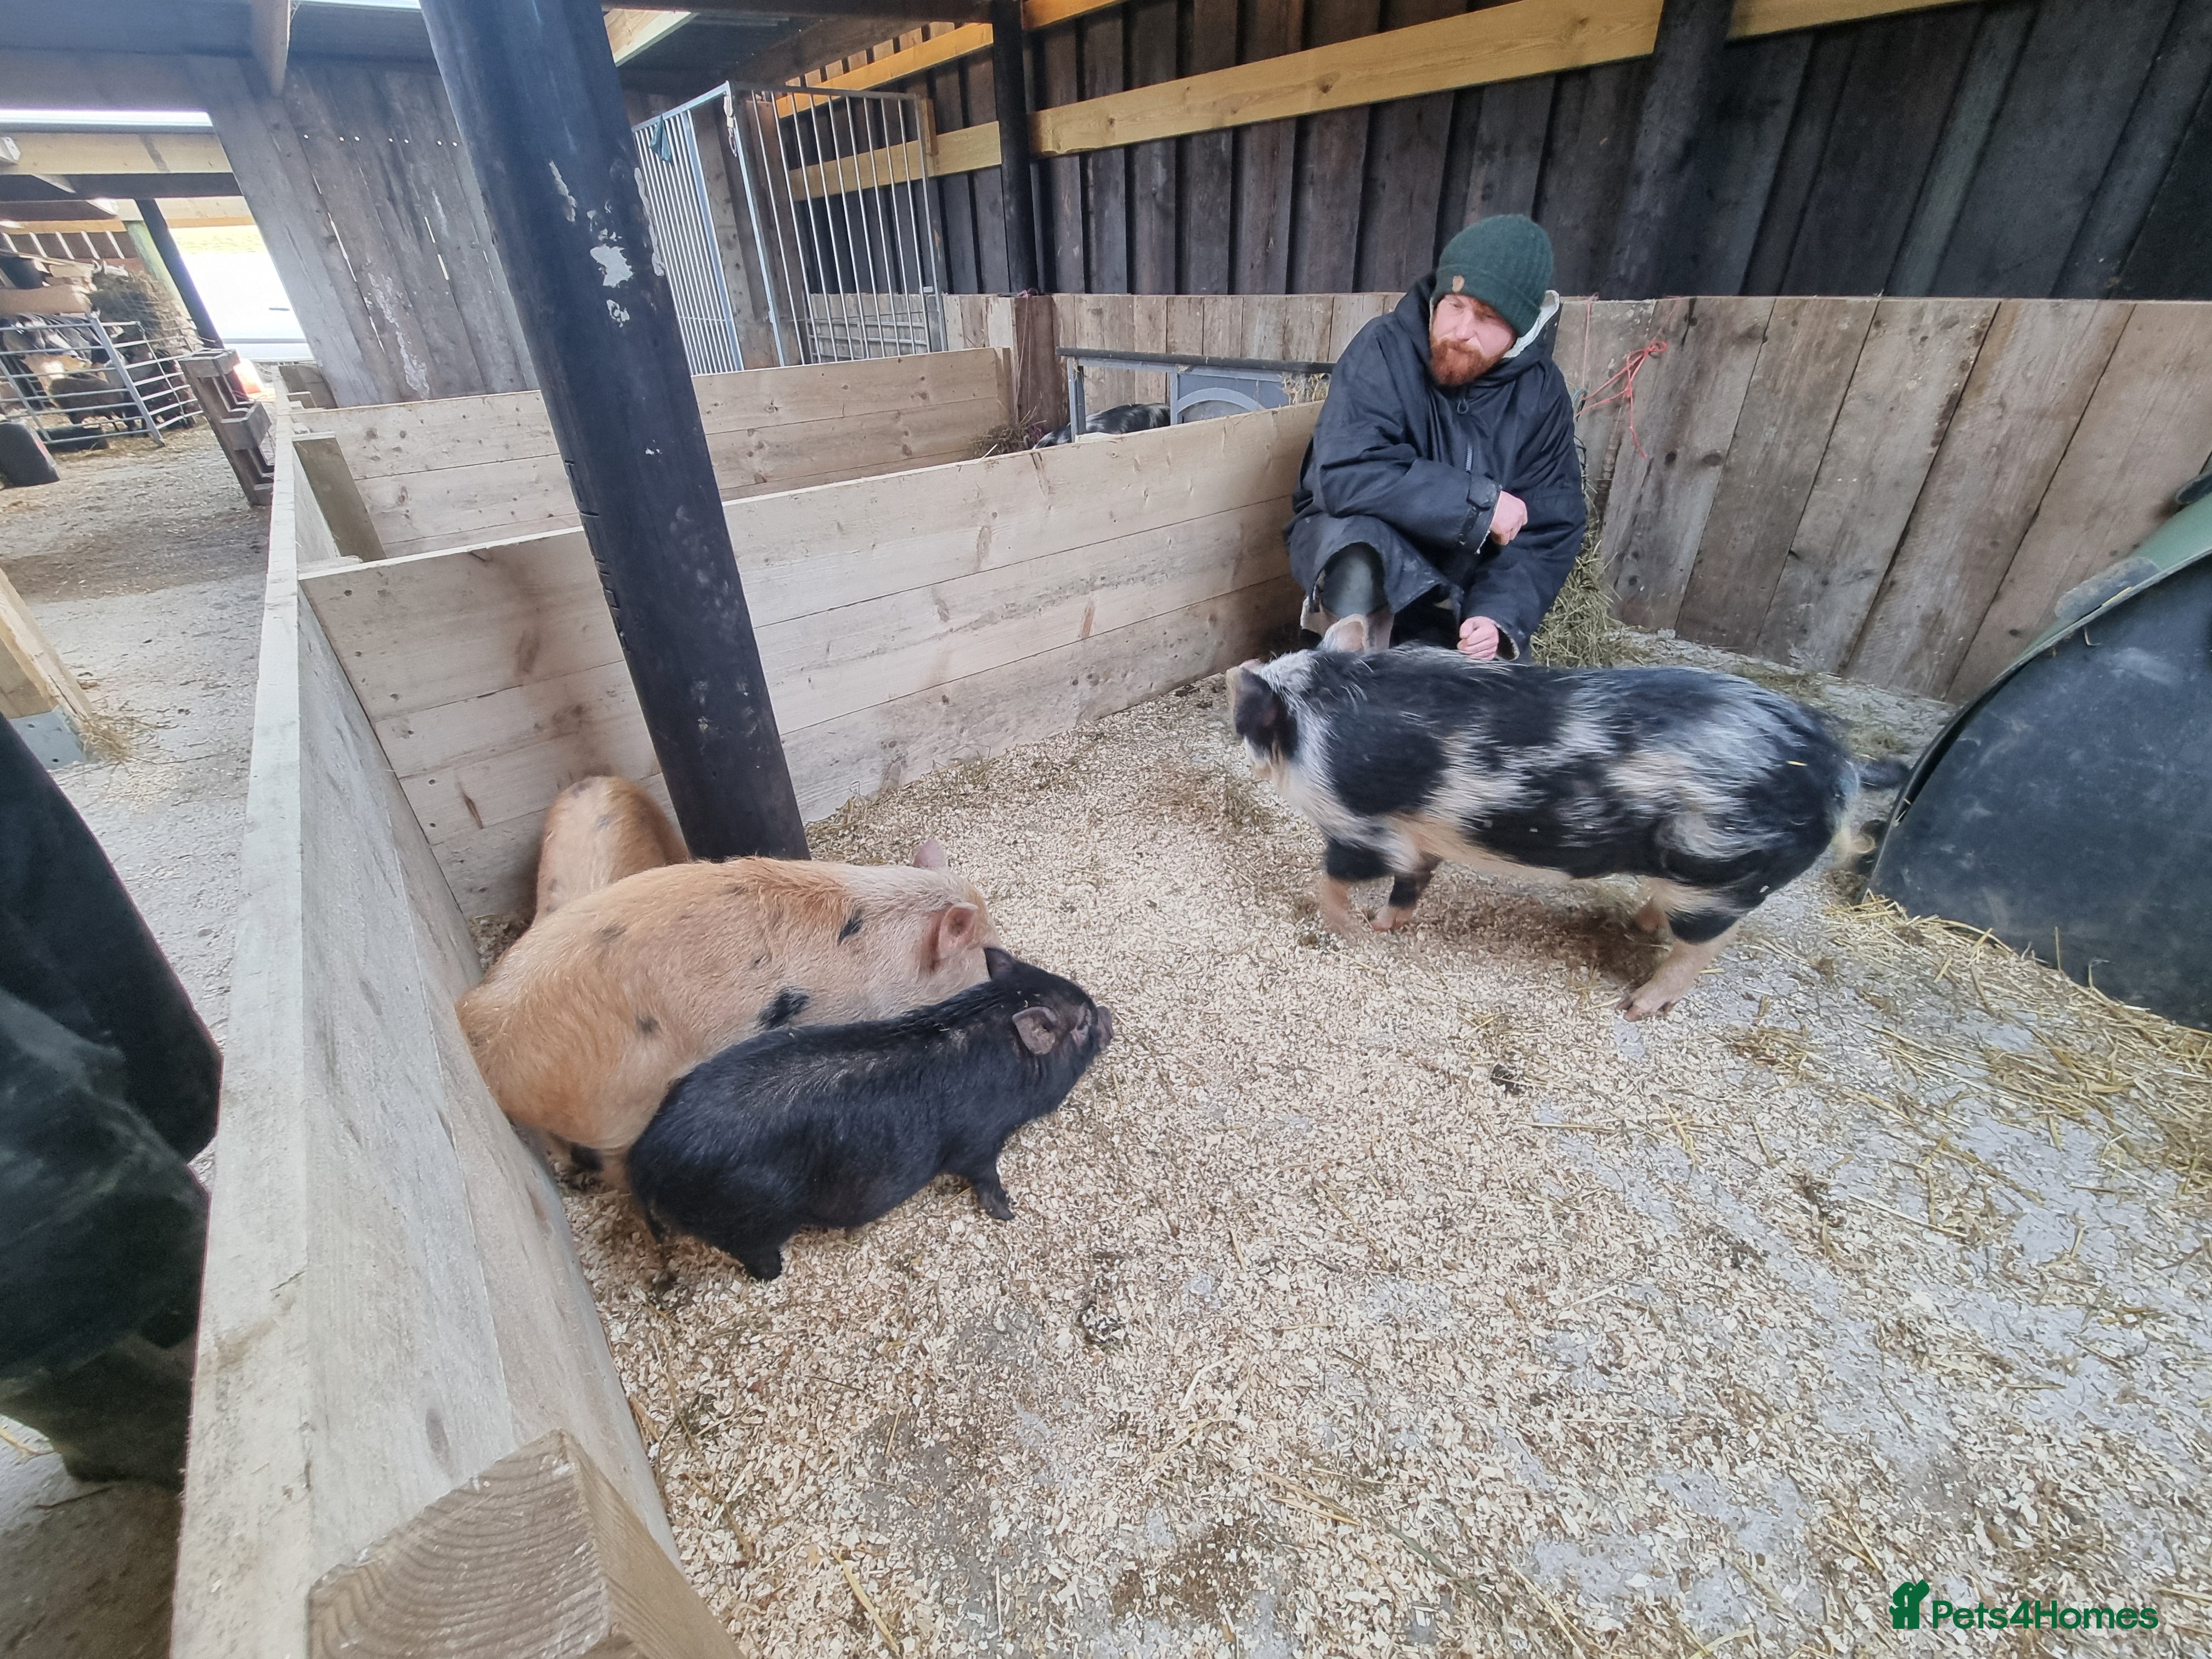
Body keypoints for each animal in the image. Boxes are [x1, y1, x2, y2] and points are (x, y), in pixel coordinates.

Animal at [628, 948, 1112, 1279]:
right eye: (1083, 1024)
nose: (1109, 1016)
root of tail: (646, 1157)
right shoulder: (979, 1140)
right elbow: (984, 1174)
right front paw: (1007, 1211)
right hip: (747, 1219)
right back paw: (776, 1271)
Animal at [1229, 618, 1910, 1019]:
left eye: (1247, 723)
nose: (1244, 754)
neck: (1318, 717)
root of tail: (1838, 765)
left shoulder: (1359, 825)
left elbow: (1336, 875)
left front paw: (1349, 928)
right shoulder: (1421, 837)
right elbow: (1414, 879)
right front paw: (1385, 926)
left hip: (1716, 871)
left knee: (1711, 942)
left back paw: (1636, 1006)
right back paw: (1638, 926)